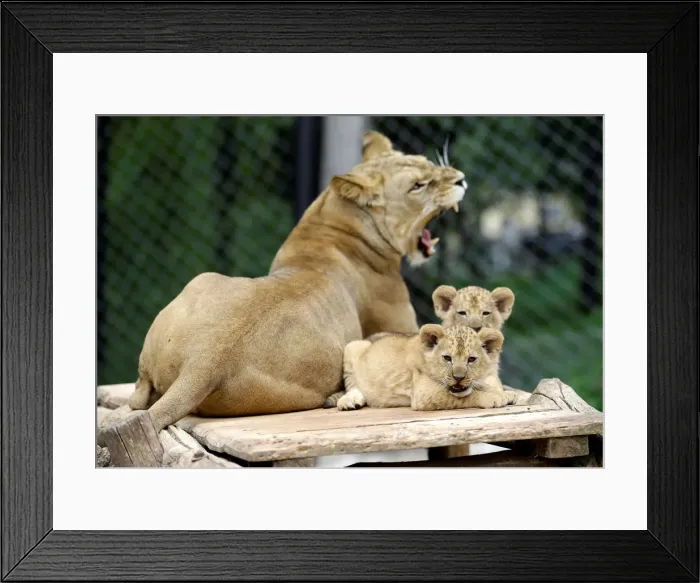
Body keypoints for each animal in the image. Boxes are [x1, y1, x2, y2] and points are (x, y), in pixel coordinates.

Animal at [127, 130, 468, 432]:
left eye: (427, 162)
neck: (335, 219)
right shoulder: (402, 324)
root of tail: (204, 363)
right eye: (418, 186)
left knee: (137, 398)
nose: (461, 179)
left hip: (198, 284)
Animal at [336, 324, 518, 411]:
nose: (458, 378)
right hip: (352, 347)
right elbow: (464, 397)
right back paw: (350, 401)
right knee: (353, 386)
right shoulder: (424, 394)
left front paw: (508, 393)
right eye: (447, 358)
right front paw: (494, 397)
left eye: (471, 359)